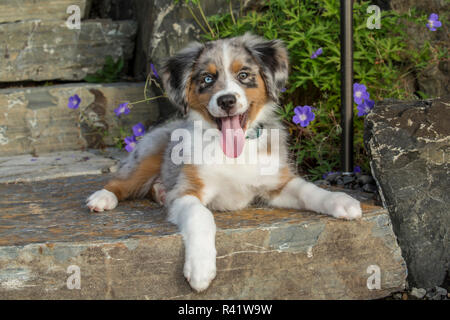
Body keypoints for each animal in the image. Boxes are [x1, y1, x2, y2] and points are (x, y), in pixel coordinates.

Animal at [87, 33, 362, 292]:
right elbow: (201, 215)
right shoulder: (187, 191)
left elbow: (309, 190)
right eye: (207, 79)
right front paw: (200, 269)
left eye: (244, 75)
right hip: (150, 152)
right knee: (122, 180)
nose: (226, 100)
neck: (232, 152)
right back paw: (102, 198)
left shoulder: (276, 183)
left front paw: (341, 200)